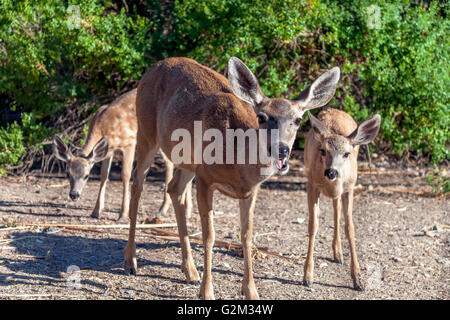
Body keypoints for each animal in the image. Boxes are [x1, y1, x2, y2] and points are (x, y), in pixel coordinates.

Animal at [52, 89, 185, 221]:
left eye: (86, 176)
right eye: (67, 174)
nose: (74, 195)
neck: (105, 127)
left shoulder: (130, 143)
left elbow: (125, 175)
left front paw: (123, 215)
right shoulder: (108, 152)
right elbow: (104, 175)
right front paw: (96, 211)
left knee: (170, 162)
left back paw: (163, 209)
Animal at [123, 56, 342, 298]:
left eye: (297, 120)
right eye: (262, 117)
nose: (281, 150)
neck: (237, 161)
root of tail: (153, 68)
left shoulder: (250, 191)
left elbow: (247, 236)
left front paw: (251, 291)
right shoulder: (205, 178)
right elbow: (209, 235)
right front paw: (207, 292)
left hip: (187, 161)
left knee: (174, 188)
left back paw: (190, 271)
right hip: (146, 132)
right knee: (138, 183)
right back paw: (131, 262)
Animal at [302, 109, 380, 292]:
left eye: (346, 153)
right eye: (323, 150)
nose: (331, 172)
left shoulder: (350, 188)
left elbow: (350, 228)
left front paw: (358, 279)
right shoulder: (311, 184)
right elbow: (313, 225)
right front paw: (307, 276)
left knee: (336, 210)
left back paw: (338, 254)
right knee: (334, 209)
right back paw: (336, 253)